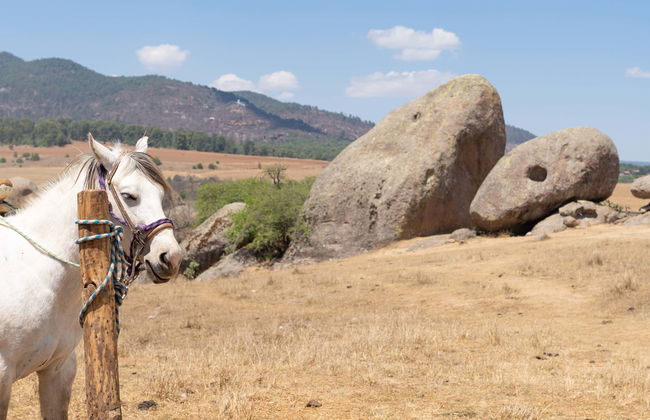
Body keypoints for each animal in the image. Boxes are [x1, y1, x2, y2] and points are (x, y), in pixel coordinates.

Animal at [0, 134, 182, 419]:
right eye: (129, 196)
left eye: (161, 194)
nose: (170, 257)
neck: (33, 270)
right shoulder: (2, 377)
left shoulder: (58, 370)